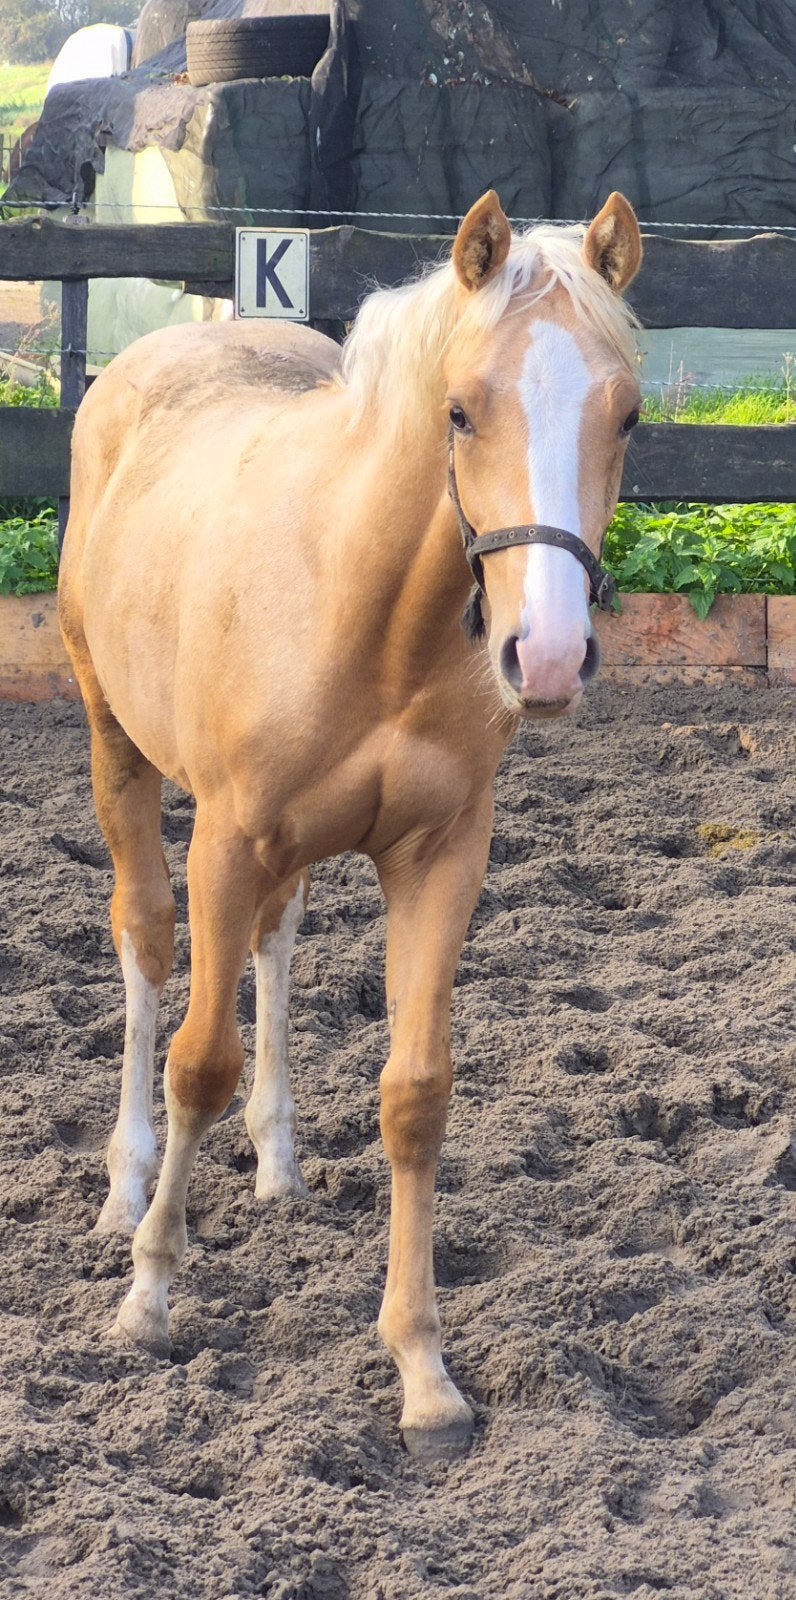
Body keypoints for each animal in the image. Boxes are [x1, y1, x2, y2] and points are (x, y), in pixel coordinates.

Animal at [59, 189, 642, 1460]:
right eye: (460, 409)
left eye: (626, 415)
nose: (549, 657)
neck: (366, 609)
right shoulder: (225, 841)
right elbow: (197, 1062)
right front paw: (149, 1293)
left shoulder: (442, 857)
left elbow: (414, 1094)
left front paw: (422, 1370)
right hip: (118, 752)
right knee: (146, 944)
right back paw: (125, 1188)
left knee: (274, 943)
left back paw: (278, 1162)